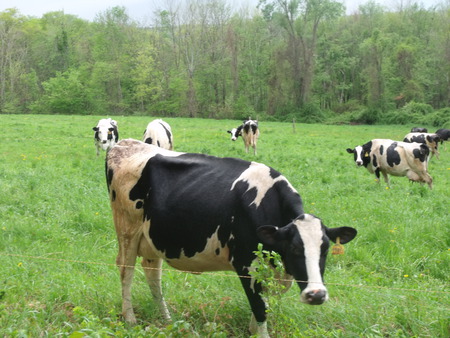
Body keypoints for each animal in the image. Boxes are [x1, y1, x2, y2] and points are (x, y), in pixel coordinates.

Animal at [106, 139, 358, 336]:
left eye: (325, 249)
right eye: (295, 249)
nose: (316, 295)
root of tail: (125, 144)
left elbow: (265, 305)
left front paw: (252, 329)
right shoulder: (246, 265)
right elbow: (260, 308)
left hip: (153, 237)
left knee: (152, 273)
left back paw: (166, 318)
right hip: (127, 230)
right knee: (126, 271)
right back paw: (130, 319)